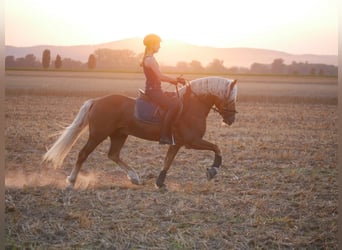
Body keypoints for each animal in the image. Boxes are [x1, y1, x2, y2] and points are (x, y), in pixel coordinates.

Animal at [41, 76, 236, 188]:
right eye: (231, 98)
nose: (231, 119)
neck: (192, 105)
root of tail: (97, 101)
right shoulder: (191, 141)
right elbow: (217, 147)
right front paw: (213, 170)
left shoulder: (178, 143)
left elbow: (168, 161)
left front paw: (160, 182)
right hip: (98, 134)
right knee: (83, 154)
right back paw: (71, 181)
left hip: (119, 135)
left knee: (113, 155)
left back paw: (134, 177)